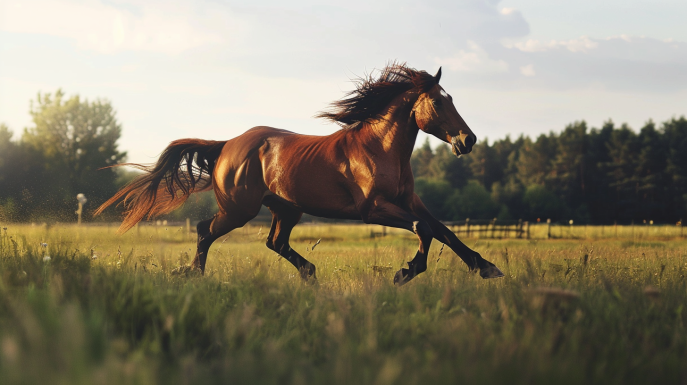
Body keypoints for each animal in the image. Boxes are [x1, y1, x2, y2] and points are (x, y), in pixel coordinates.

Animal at [95, 63, 506, 284]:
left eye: (451, 99)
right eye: (438, 101)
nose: (467, 140)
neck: (380, 148)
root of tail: (227, 145)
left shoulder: (409, 200)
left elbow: (443, 230)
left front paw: (486, 267)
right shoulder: (372, 209)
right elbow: (425, 229)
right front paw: (406, 272)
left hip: (286, 208)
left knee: (274, 242)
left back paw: (309, 272)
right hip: (240, 210)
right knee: (204, 230)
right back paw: (194, 274)